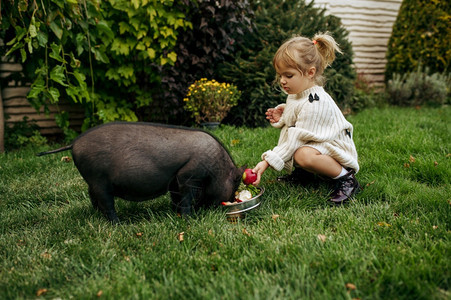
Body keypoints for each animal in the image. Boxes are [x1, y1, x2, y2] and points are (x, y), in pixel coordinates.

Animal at [37, 122, 245, 223]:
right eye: (235, 182)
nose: (231, 200)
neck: (218, 166)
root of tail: (74, 143)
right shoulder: (188, 176)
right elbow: (186, 199)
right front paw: (188, 218)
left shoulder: (174, 181)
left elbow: (176, 198)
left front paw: (176, 213)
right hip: (99, 180)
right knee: (107, 203)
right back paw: (119, 224)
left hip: (92, 181)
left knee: (94, 199)